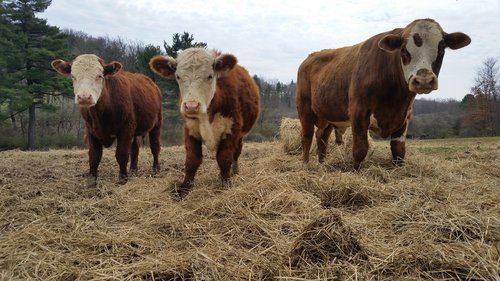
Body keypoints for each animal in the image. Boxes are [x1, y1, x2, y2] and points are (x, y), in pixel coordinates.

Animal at [50, 54, 162, 186]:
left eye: (99, 76)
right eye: (73, 76)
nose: (84, 97)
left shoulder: (126, 128)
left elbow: (122, 154)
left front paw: (122, 178)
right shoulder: (90, 130)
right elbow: (94, 156)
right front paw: (91, 181)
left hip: (157, 123)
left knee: (155, 147)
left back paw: (155, 169)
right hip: (136, 131)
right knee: (135, 148)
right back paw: (133, 170)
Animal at [148, 48, 260, 197]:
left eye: (210, 76)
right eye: (178, 76)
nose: (191, 106)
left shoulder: (232, 129)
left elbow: (224, 158)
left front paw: (225, 184)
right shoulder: (189, 129)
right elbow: (192, 160)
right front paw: (184, 189)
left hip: (240, 136)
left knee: (236, 154)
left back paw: (234, 172)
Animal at [294, 19, 470, 171]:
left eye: (441, 49)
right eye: (404, 50)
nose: (424, 80)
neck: (395, 99)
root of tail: (310, 57)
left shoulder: (404, 117)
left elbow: (399, 151)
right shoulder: (359, 113)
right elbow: (360, 149)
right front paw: (355, 172)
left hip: (329, 114)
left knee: (322, 137)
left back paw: (322, 164)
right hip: (305, 109)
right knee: (307, 136)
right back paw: (305, 164)